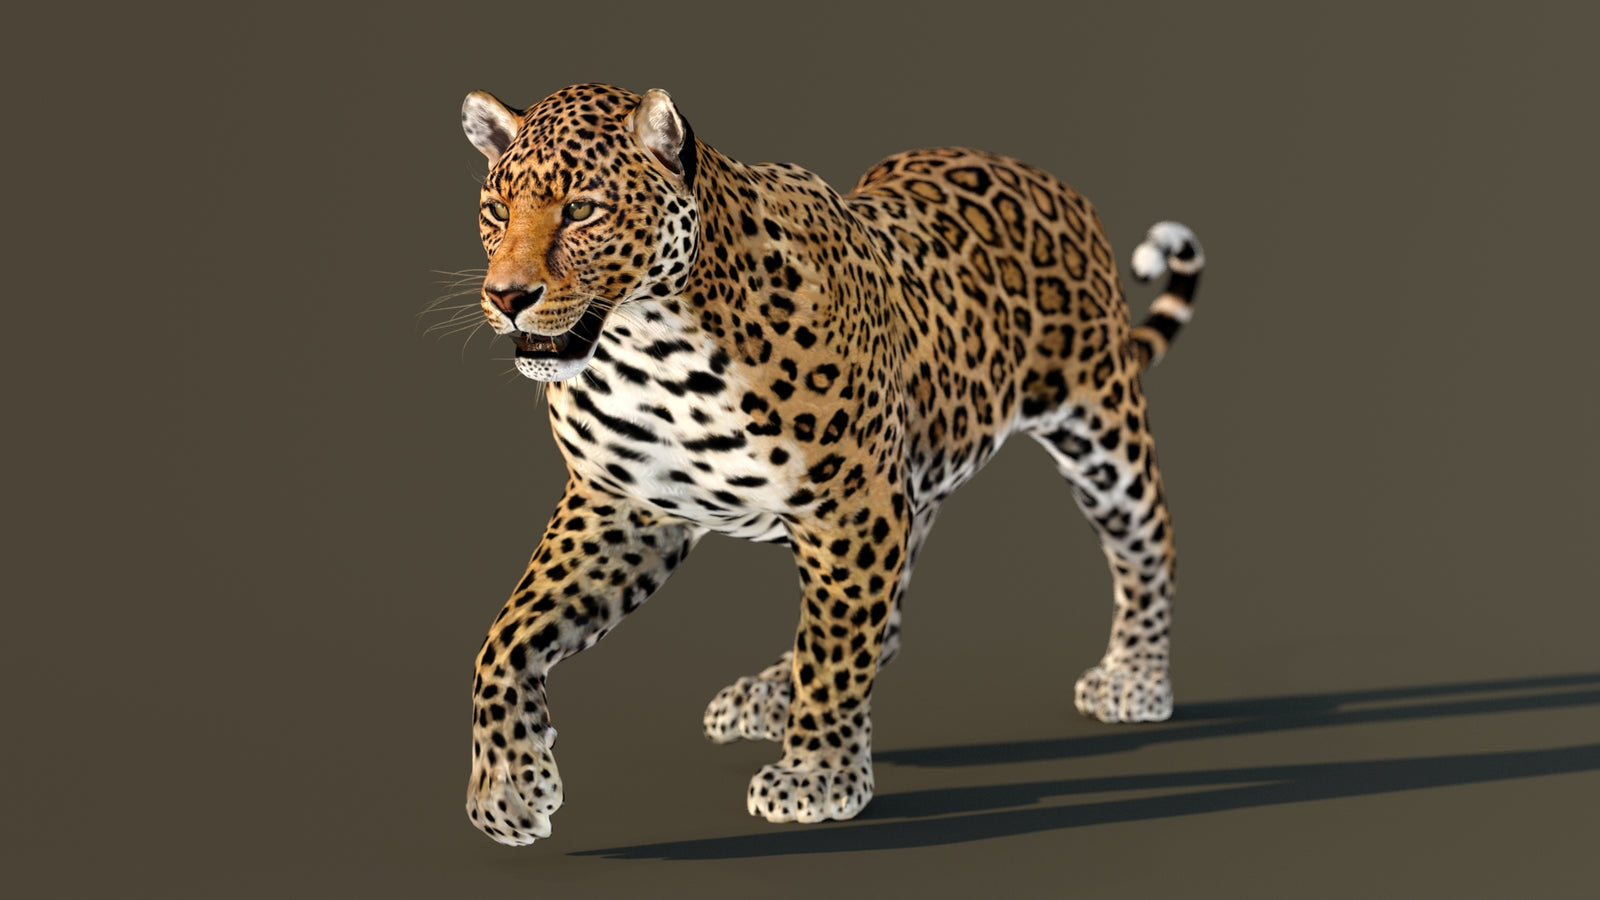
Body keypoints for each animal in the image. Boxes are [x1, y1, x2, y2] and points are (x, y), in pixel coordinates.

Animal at [454, 83, 1205, 846]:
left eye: (582, 209)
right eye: (497, 211)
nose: (507, 298)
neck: (652, 348)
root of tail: (1042, 175)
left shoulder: (851, 506)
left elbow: (836, 651)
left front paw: (816, 776)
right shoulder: (622, 503)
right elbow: (509, 633)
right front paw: (507, 790)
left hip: (1099, 425)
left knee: (1149, 546)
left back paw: (1135, 678)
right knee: (884, 619)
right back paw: (766, 692)